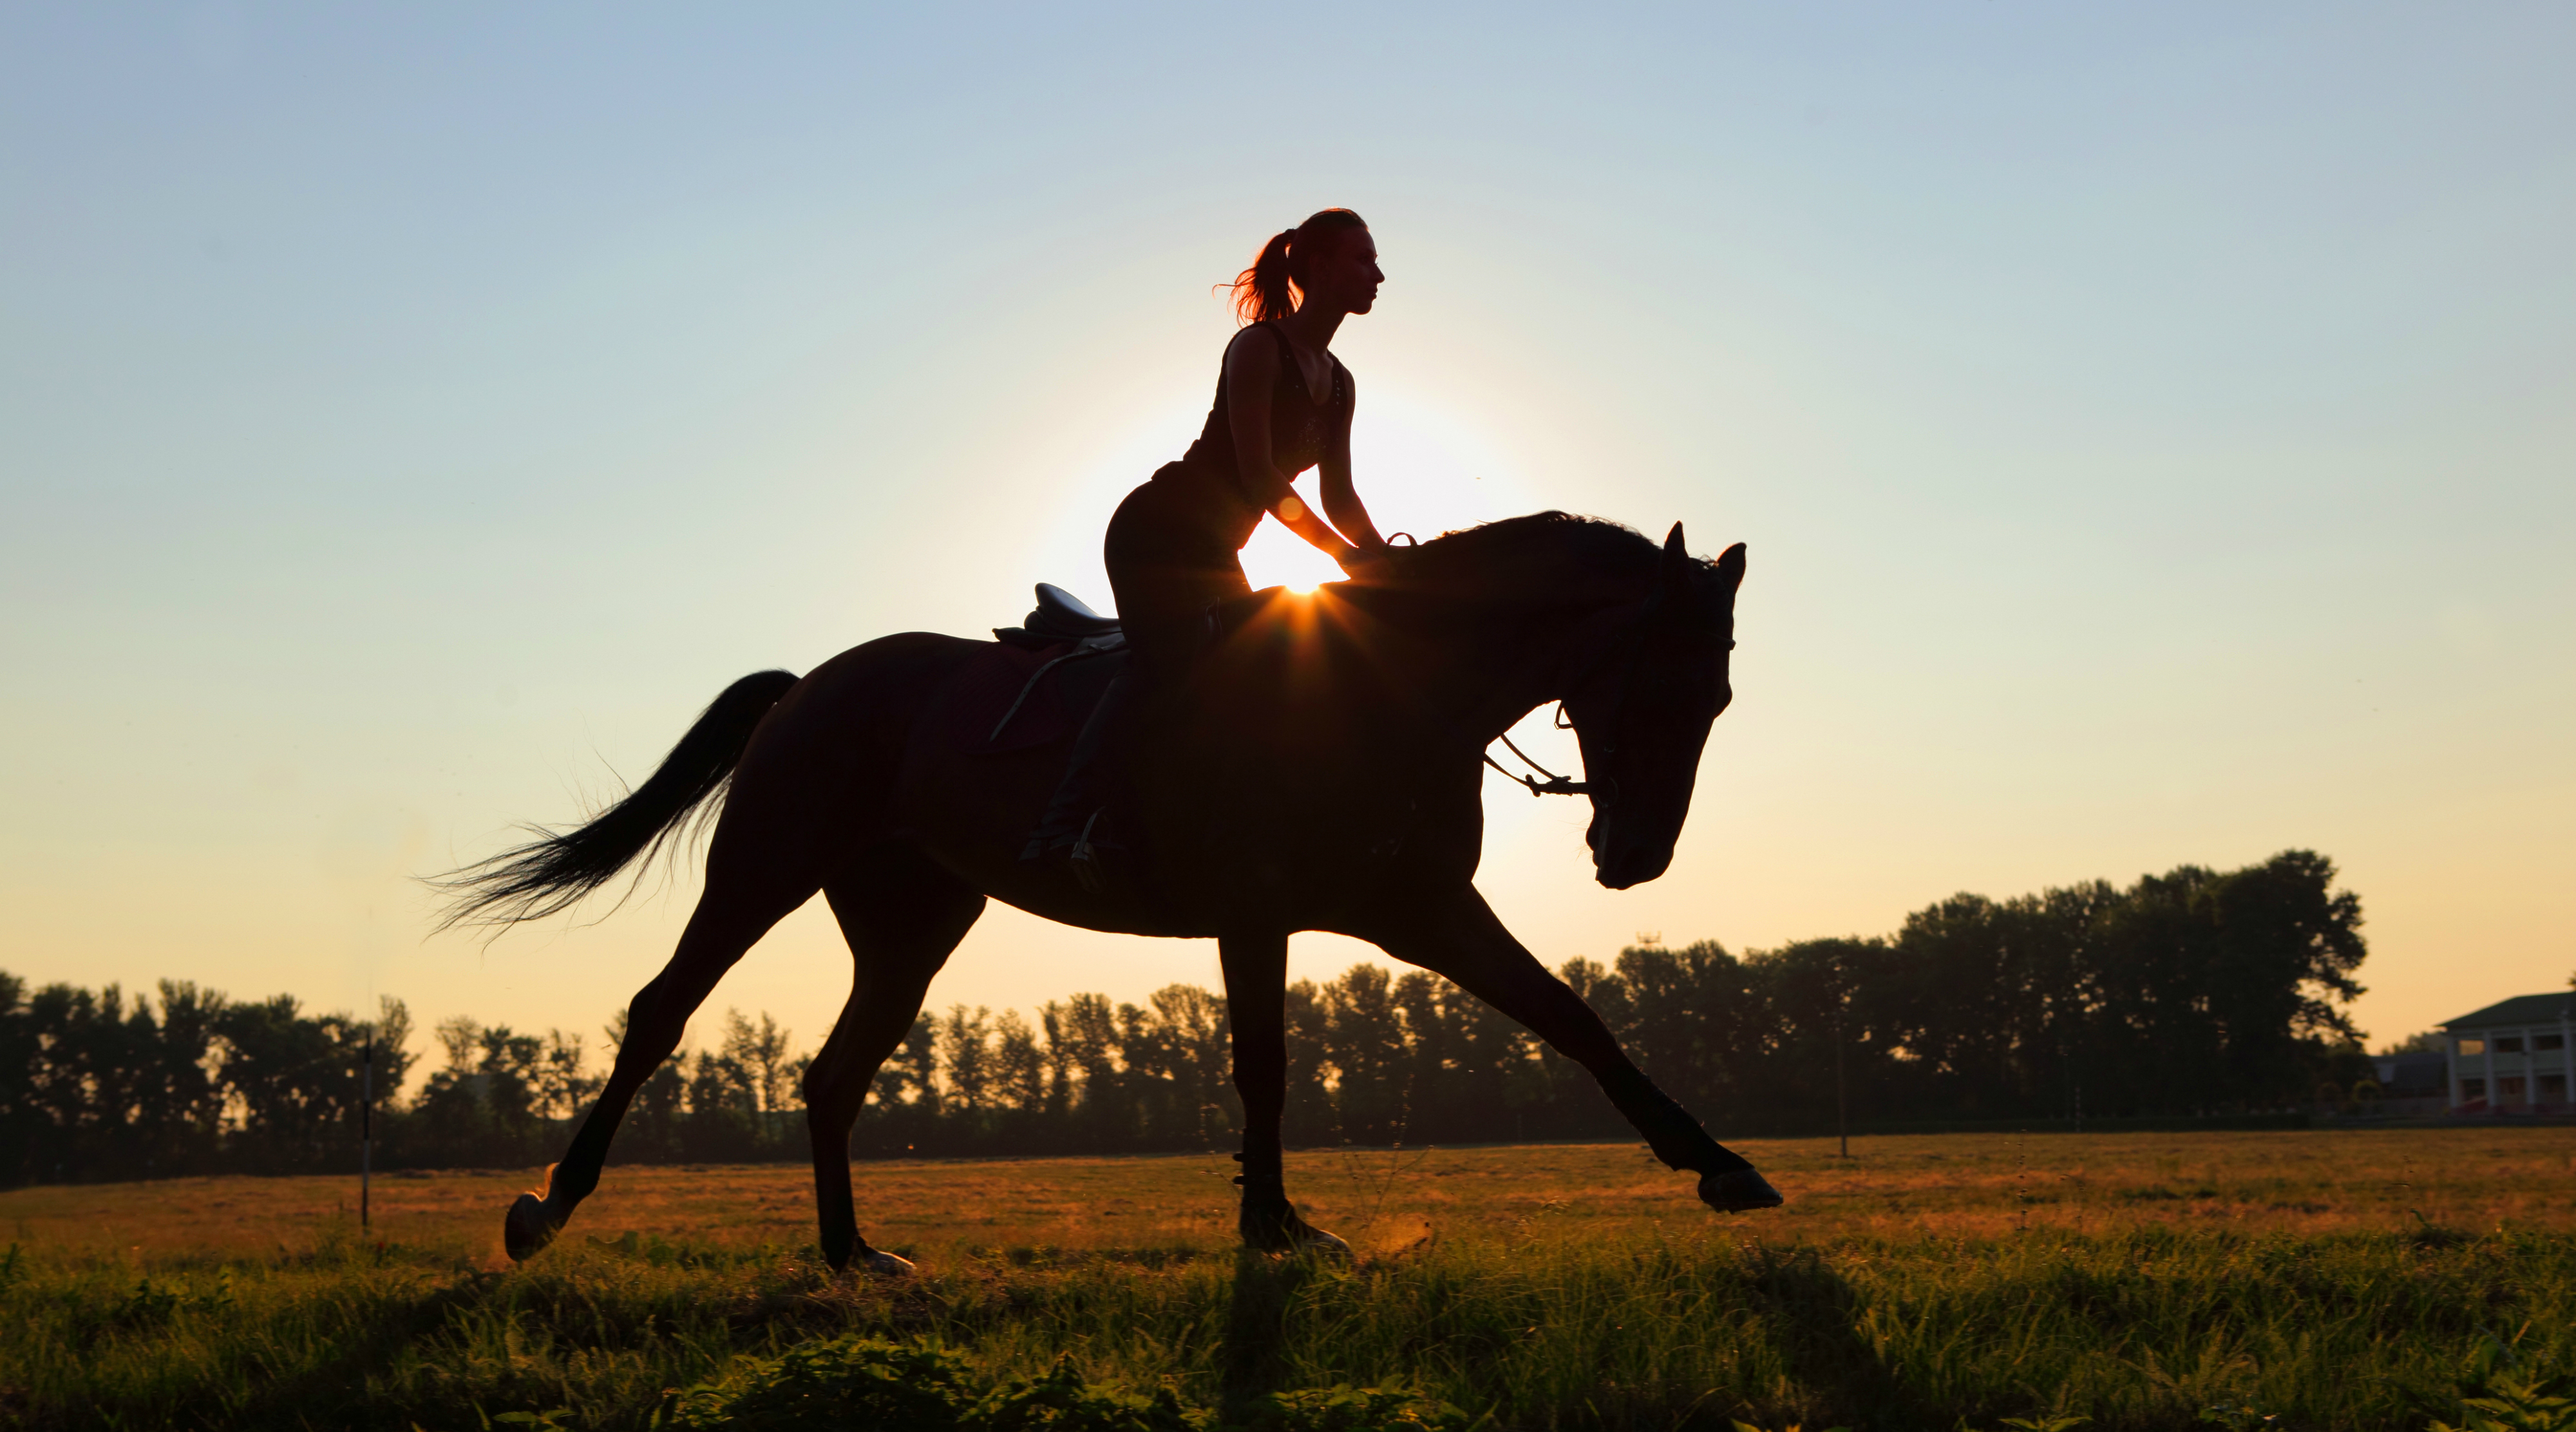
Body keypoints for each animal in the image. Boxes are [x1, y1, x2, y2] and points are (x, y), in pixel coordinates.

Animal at [443, 515, 1772, 1277]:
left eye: (1718, 698)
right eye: (1665, 685)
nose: (1637, 853)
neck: (1386, 686)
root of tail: (814, 680)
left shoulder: (1422, 908)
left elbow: (1576, 1019)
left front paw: (1719, 1164)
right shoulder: (1259, 907)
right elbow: (1265, 1065)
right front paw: (1275, 1226)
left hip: (913, 923)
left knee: (830, 1074)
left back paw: (850, 1252)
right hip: (763, 868)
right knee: (661, 1013)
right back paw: (547, 1208)